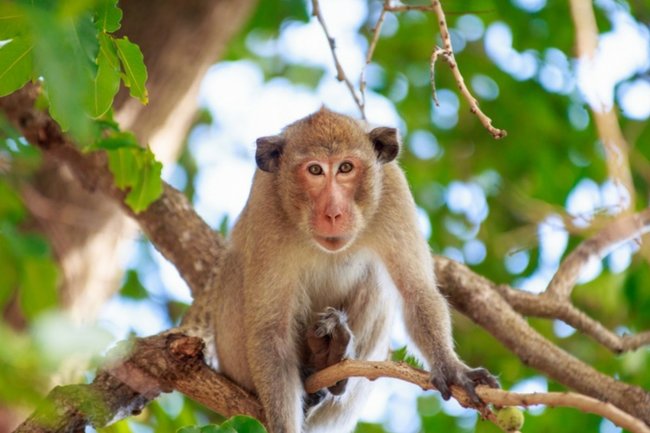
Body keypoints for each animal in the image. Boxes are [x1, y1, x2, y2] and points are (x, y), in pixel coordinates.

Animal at [209, 107, 496, 432]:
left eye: (346, 167)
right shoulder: (266, 204)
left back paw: (331, 360)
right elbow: (271, 332)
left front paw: (451, 367)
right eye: (315, 170)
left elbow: (416, 291)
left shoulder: (392, 189)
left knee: (377, 282)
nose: (333, 213)